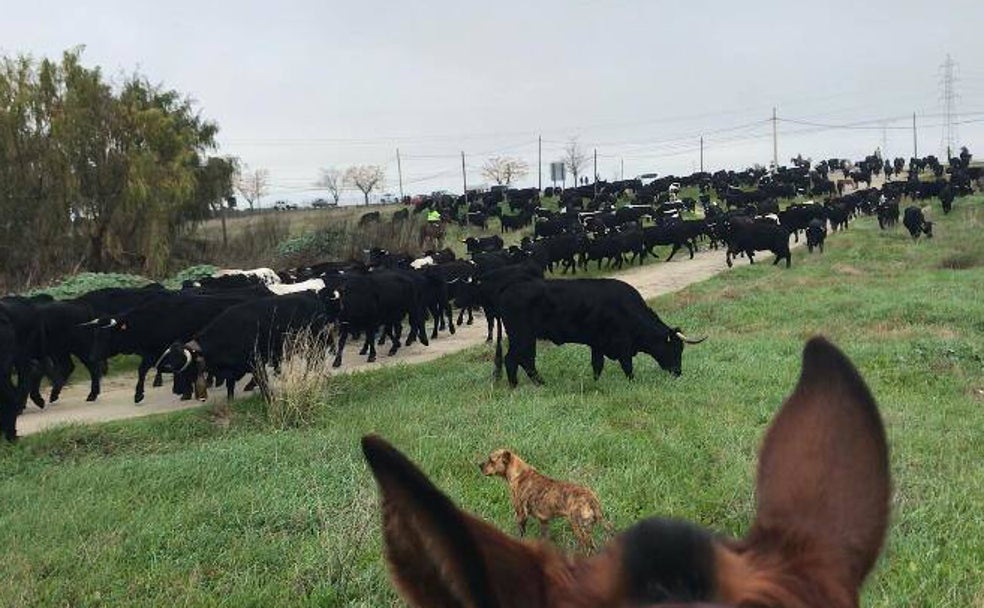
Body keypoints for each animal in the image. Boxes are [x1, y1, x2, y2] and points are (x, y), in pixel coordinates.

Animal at [158, 294, 326, 402]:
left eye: (184, 369)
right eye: (171, 367)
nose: (176, 390)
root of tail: (315, 301)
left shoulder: (256, 361)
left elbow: (263, 382)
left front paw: (268, 397)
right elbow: (230, 387)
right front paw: (230, 401)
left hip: (313, 343)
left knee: (316, 360)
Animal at [496, 280, 704, 384]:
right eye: (675, 349)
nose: (678, 372)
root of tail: (506, 291)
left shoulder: (597, 344)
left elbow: (597, 366)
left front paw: (596, 384)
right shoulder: (623, 346)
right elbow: (627, 367)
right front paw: (633, 382)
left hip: (527, 338)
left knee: (526, 360)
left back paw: (540, 383)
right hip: (522, 336)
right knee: (513, 359)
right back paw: (516, 386)